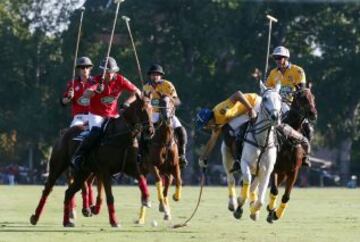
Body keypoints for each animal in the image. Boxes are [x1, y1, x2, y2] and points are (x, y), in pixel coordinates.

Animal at [61, 93, 154, 228]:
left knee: (71, 191)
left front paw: (146, 199)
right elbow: (110, 197)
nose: (150, 131)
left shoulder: (131, 167)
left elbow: (141, 179)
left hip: (83, 173)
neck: (121, 137)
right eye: (141, 110)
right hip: (76, 170)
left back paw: (72, 218)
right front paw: (114, 221)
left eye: (152, 109)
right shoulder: (105, 171)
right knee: (76, 189)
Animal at [138, 95, 183, 224]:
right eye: (161, 103)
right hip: (143, 169)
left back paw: (167, 212)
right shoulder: (152, 165)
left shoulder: (175, 165)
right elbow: (158, 181)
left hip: (167, 171)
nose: (167, 118)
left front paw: (175, 197)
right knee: (144, 189)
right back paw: (141, 217)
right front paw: (162, 206)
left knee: (168, 183)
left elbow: (178, 181)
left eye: (172, 102)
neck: (164, 141)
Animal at [229, 82, 282, 221]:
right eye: (265, 98)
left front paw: (254, 211)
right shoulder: (244, 162)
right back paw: (233, 204)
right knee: (231, 178)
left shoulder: (267, 170)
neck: (262, 142)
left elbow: (261, 199)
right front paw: (239, 205)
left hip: (258, 172)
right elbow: (246, 182)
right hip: (226, 155)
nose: (275, 117)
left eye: (280, 99)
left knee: (253, 187)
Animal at [266, 87, 316, 223]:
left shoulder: (293, 171)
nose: (313, 114)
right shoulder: (274, 168)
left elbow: (286, 196)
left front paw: (276, 214)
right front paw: (271, 210)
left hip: (284, 173)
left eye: (313, 97)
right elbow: (274, 190)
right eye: (302, 98)